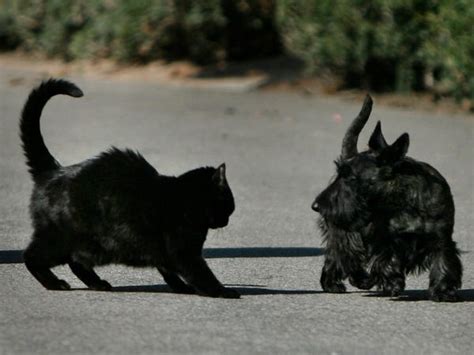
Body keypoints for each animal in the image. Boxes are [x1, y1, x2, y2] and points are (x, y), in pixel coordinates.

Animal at [19, 79, 239, 298]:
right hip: (60, 239)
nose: (227, 221)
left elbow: (168, 271)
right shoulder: (183, 252)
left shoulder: (165, 253)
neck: (185, 200)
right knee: (31, 256)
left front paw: (181, 288)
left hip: (90, 246)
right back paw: (55, 283)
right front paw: (222, 291)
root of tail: (54, 170)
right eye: (229, 203)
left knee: (76, 262)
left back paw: (98, 284)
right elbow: (202, 274)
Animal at [312, 96, 462, 302]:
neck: (403, 202)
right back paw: (341, 283)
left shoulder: (442, 239)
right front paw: (392, 283)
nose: (317, 205)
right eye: (339, 174)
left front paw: (443, 290)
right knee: (342, 257)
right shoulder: (385, 241)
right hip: (345, 234)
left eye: (351, 178)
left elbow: (443, 262)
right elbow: (387, 260)